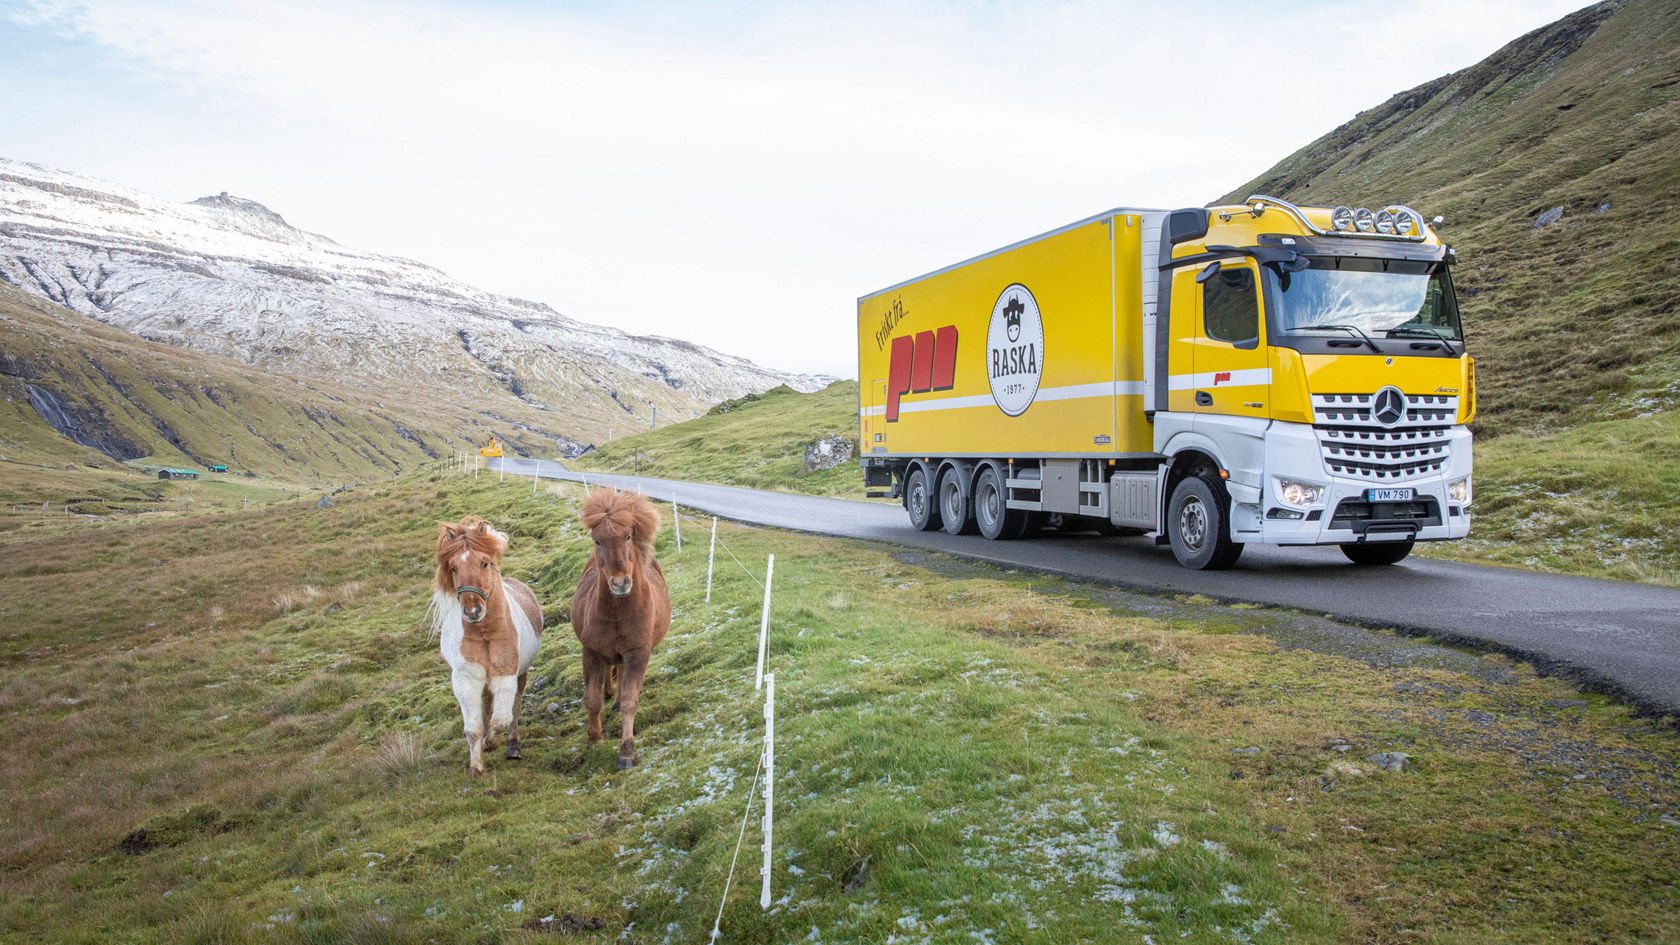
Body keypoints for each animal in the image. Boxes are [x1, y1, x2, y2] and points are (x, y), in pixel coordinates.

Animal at [433, 514, 544, 773]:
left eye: (485, 563)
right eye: (453, 567)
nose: (473, 610)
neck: (485, 634)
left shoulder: (506, 676)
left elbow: (501, 720)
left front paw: (491, 743)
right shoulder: (466, 680)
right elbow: (474, 728)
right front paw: (476, 766)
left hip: (520, 675)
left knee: (514, 708)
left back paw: (513, 748)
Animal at [577, 487, 668, 770]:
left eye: (627, 536)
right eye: (597, 540)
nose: (620, 583)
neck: (619, 611)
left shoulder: (637, 654)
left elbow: (630, 700)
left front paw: (626, 751)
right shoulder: (591, 652)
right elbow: (592, 699)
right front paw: (594, 738)